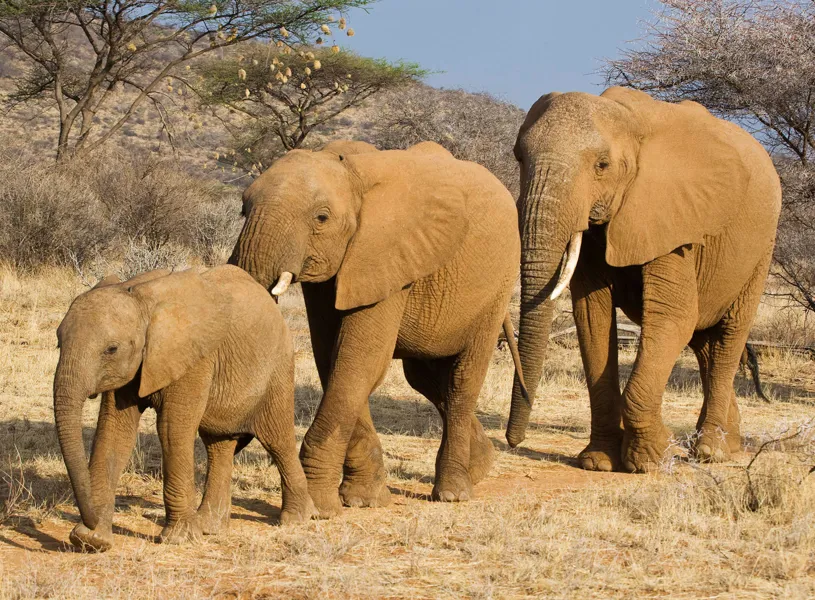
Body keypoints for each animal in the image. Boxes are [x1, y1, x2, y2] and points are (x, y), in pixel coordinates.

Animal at [54, 265, 314, 552]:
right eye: (58, 342)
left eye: (111, 349)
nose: (87, 520)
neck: (142, 300)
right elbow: (113, 432)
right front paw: (90, 541)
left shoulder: (194, 359)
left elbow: (172, 430)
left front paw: (178, 539)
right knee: (218, 444)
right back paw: (210, 528)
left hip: (278, 367)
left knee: (277, 439)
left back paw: (297, 519)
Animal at [229, 139, 521, 515]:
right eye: (243, 208)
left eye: (321, 218)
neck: (351, 171)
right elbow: (334, 359)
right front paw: (362, 499)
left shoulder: (387, 253)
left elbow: (361, 360)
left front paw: (320, 506)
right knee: (426, 379)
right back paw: (481, 467)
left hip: (497, 285)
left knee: (461, 381)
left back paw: (454, 492)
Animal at [505, 87, 781, 473]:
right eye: (518, 157)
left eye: (602, 165)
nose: (513, 441)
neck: (627, 119)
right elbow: (592, 318)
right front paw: (598, 462)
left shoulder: (671, 218)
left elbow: (672, 317)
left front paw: (651, 459)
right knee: (703, 343)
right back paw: (727, 442)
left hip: (761, 248)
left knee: (729, 335)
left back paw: (711, 451)